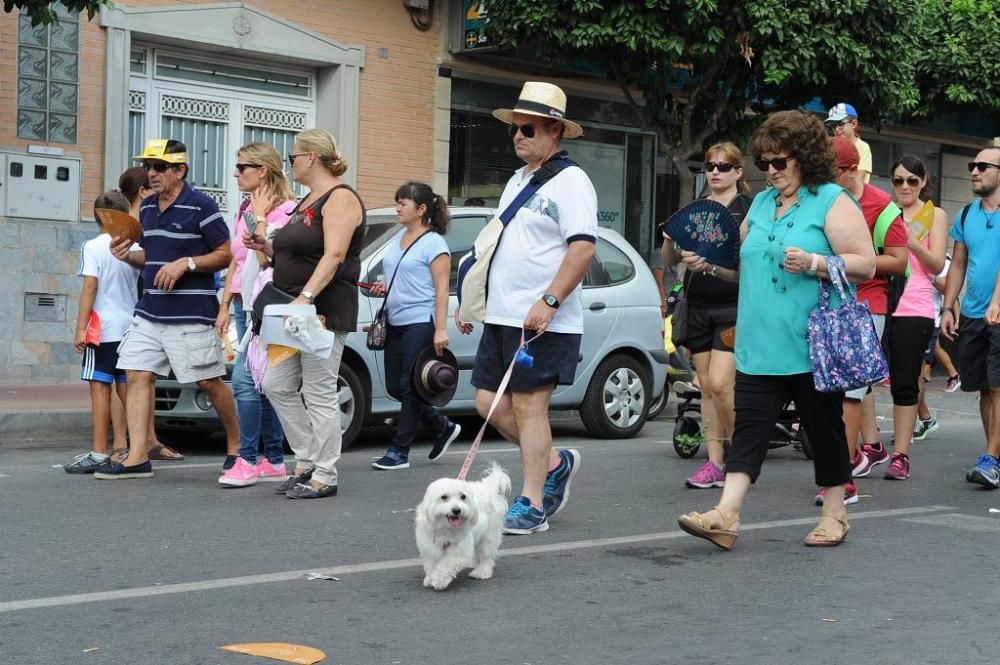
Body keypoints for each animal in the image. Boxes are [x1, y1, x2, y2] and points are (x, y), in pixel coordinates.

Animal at [414, 462, 512, 592]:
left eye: (463, 497)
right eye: (444, 497)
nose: (456, 510)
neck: (445, 527)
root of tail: (487, 488)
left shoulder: (458, 549)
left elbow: (447, 564)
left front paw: (439, 580)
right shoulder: (430, 546)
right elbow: (432, 563)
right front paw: (430, 579)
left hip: (489, 535)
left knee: (486, 556)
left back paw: (481, 572)